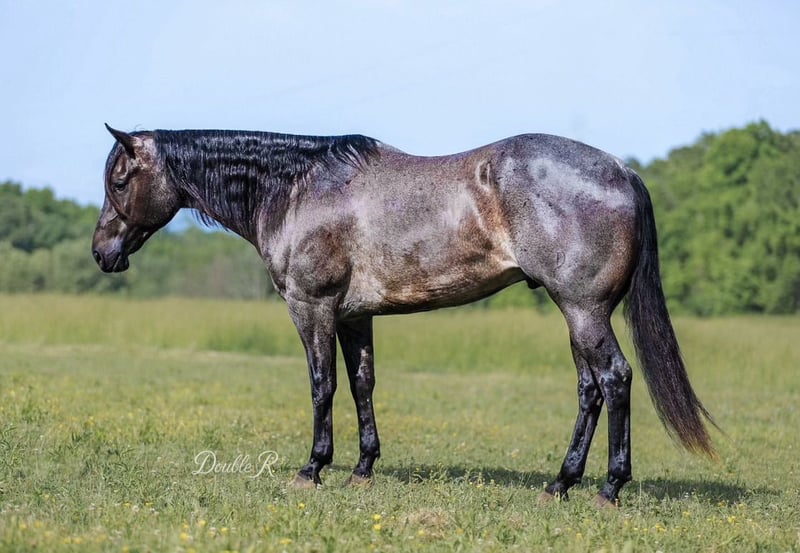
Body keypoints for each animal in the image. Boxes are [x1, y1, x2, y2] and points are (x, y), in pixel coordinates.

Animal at [92, 124, 716, 506]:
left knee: (615, 380)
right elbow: (361, 384)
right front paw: (362, 468)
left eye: (119, 179)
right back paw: (560, 484)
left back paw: (610, 488)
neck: (299, 190)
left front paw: (312, 469)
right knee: (589, 389)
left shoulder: (311, 307)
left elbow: (321, 386)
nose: (102, 252)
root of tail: (621, 170)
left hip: (584, 311)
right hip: (577, 315)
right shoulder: (353, 316)